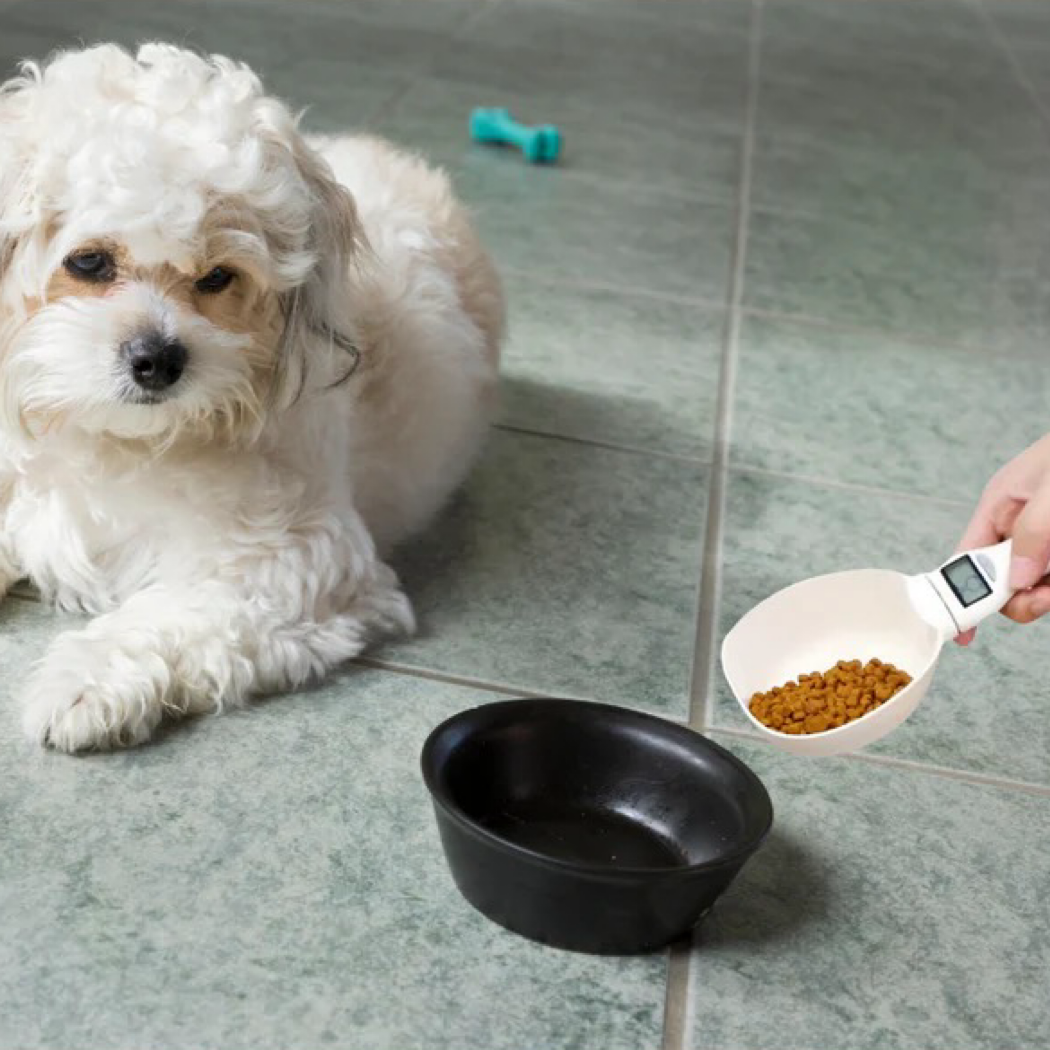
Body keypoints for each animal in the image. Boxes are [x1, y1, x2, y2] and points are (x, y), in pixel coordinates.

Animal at [0, 45, 503, 751]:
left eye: (218, 277)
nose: (159, 360)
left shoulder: (293, 561)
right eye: (90, 261)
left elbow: (170, 618)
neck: (104, 439)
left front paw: (84, 680)